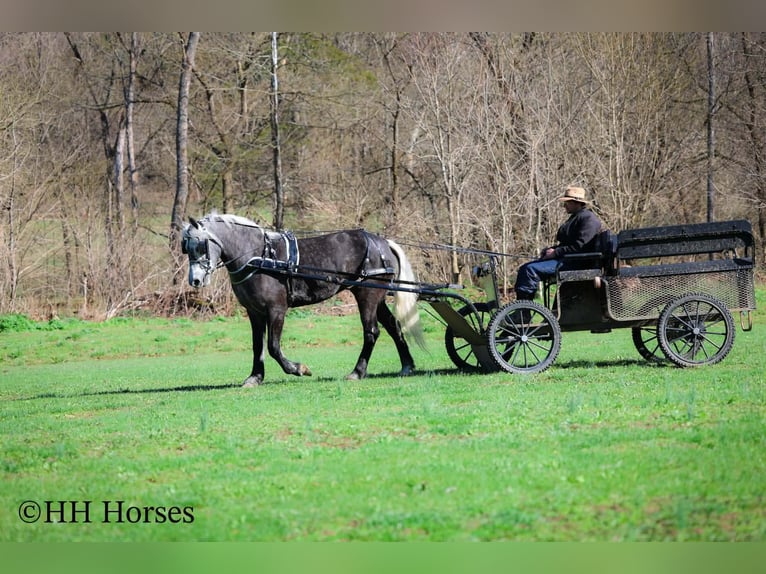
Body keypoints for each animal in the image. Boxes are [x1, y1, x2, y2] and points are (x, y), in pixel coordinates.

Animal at [182, 212, 425, 387]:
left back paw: (357, 372)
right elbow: (257, 345)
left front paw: (298, 369)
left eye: (201, 245)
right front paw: (255, 377)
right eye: (186, 248)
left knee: (372, 332)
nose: (195, 280)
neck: (258, 256)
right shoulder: (255, 312)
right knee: (394, 326)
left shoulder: (276, 309)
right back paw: (407, 365)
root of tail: (381, 242)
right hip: (377, 296)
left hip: (367, 295)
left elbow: (273, 346)